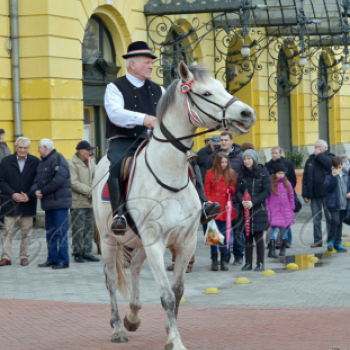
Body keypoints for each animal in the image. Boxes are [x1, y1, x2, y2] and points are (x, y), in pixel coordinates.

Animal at [92, 61, 258, 348]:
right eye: (206, 93)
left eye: (222, 86)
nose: (247, 113)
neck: (168, 174)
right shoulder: (155, 242)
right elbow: (167, 295)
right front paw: (176, 340)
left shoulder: (185, 242)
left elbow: (178, 291)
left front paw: (171, 333)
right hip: (108, 239)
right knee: (111, 280)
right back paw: (118, 329)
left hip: (138, 242)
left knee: (135, 267)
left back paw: (132, 316)